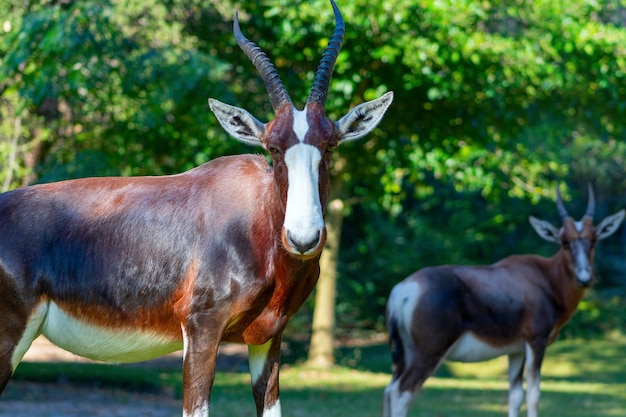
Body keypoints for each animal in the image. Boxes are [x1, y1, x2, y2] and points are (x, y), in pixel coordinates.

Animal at [0, 0, 390, 416]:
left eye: (330, 145)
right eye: (273, 148)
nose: (303, 238)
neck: (253, 223)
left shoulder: (267, 338)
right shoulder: (202, 328)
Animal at [382, 185, 620, 416]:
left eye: (593, 240)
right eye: (565, 242)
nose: (584, 279)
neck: (545, 277)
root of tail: (403, 290)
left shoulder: (515, 350)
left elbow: (515, 396)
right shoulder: (536, 341)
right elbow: (533, 394)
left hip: (404, 354)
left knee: (389, 390)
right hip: (429, 353)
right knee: (401, 392)